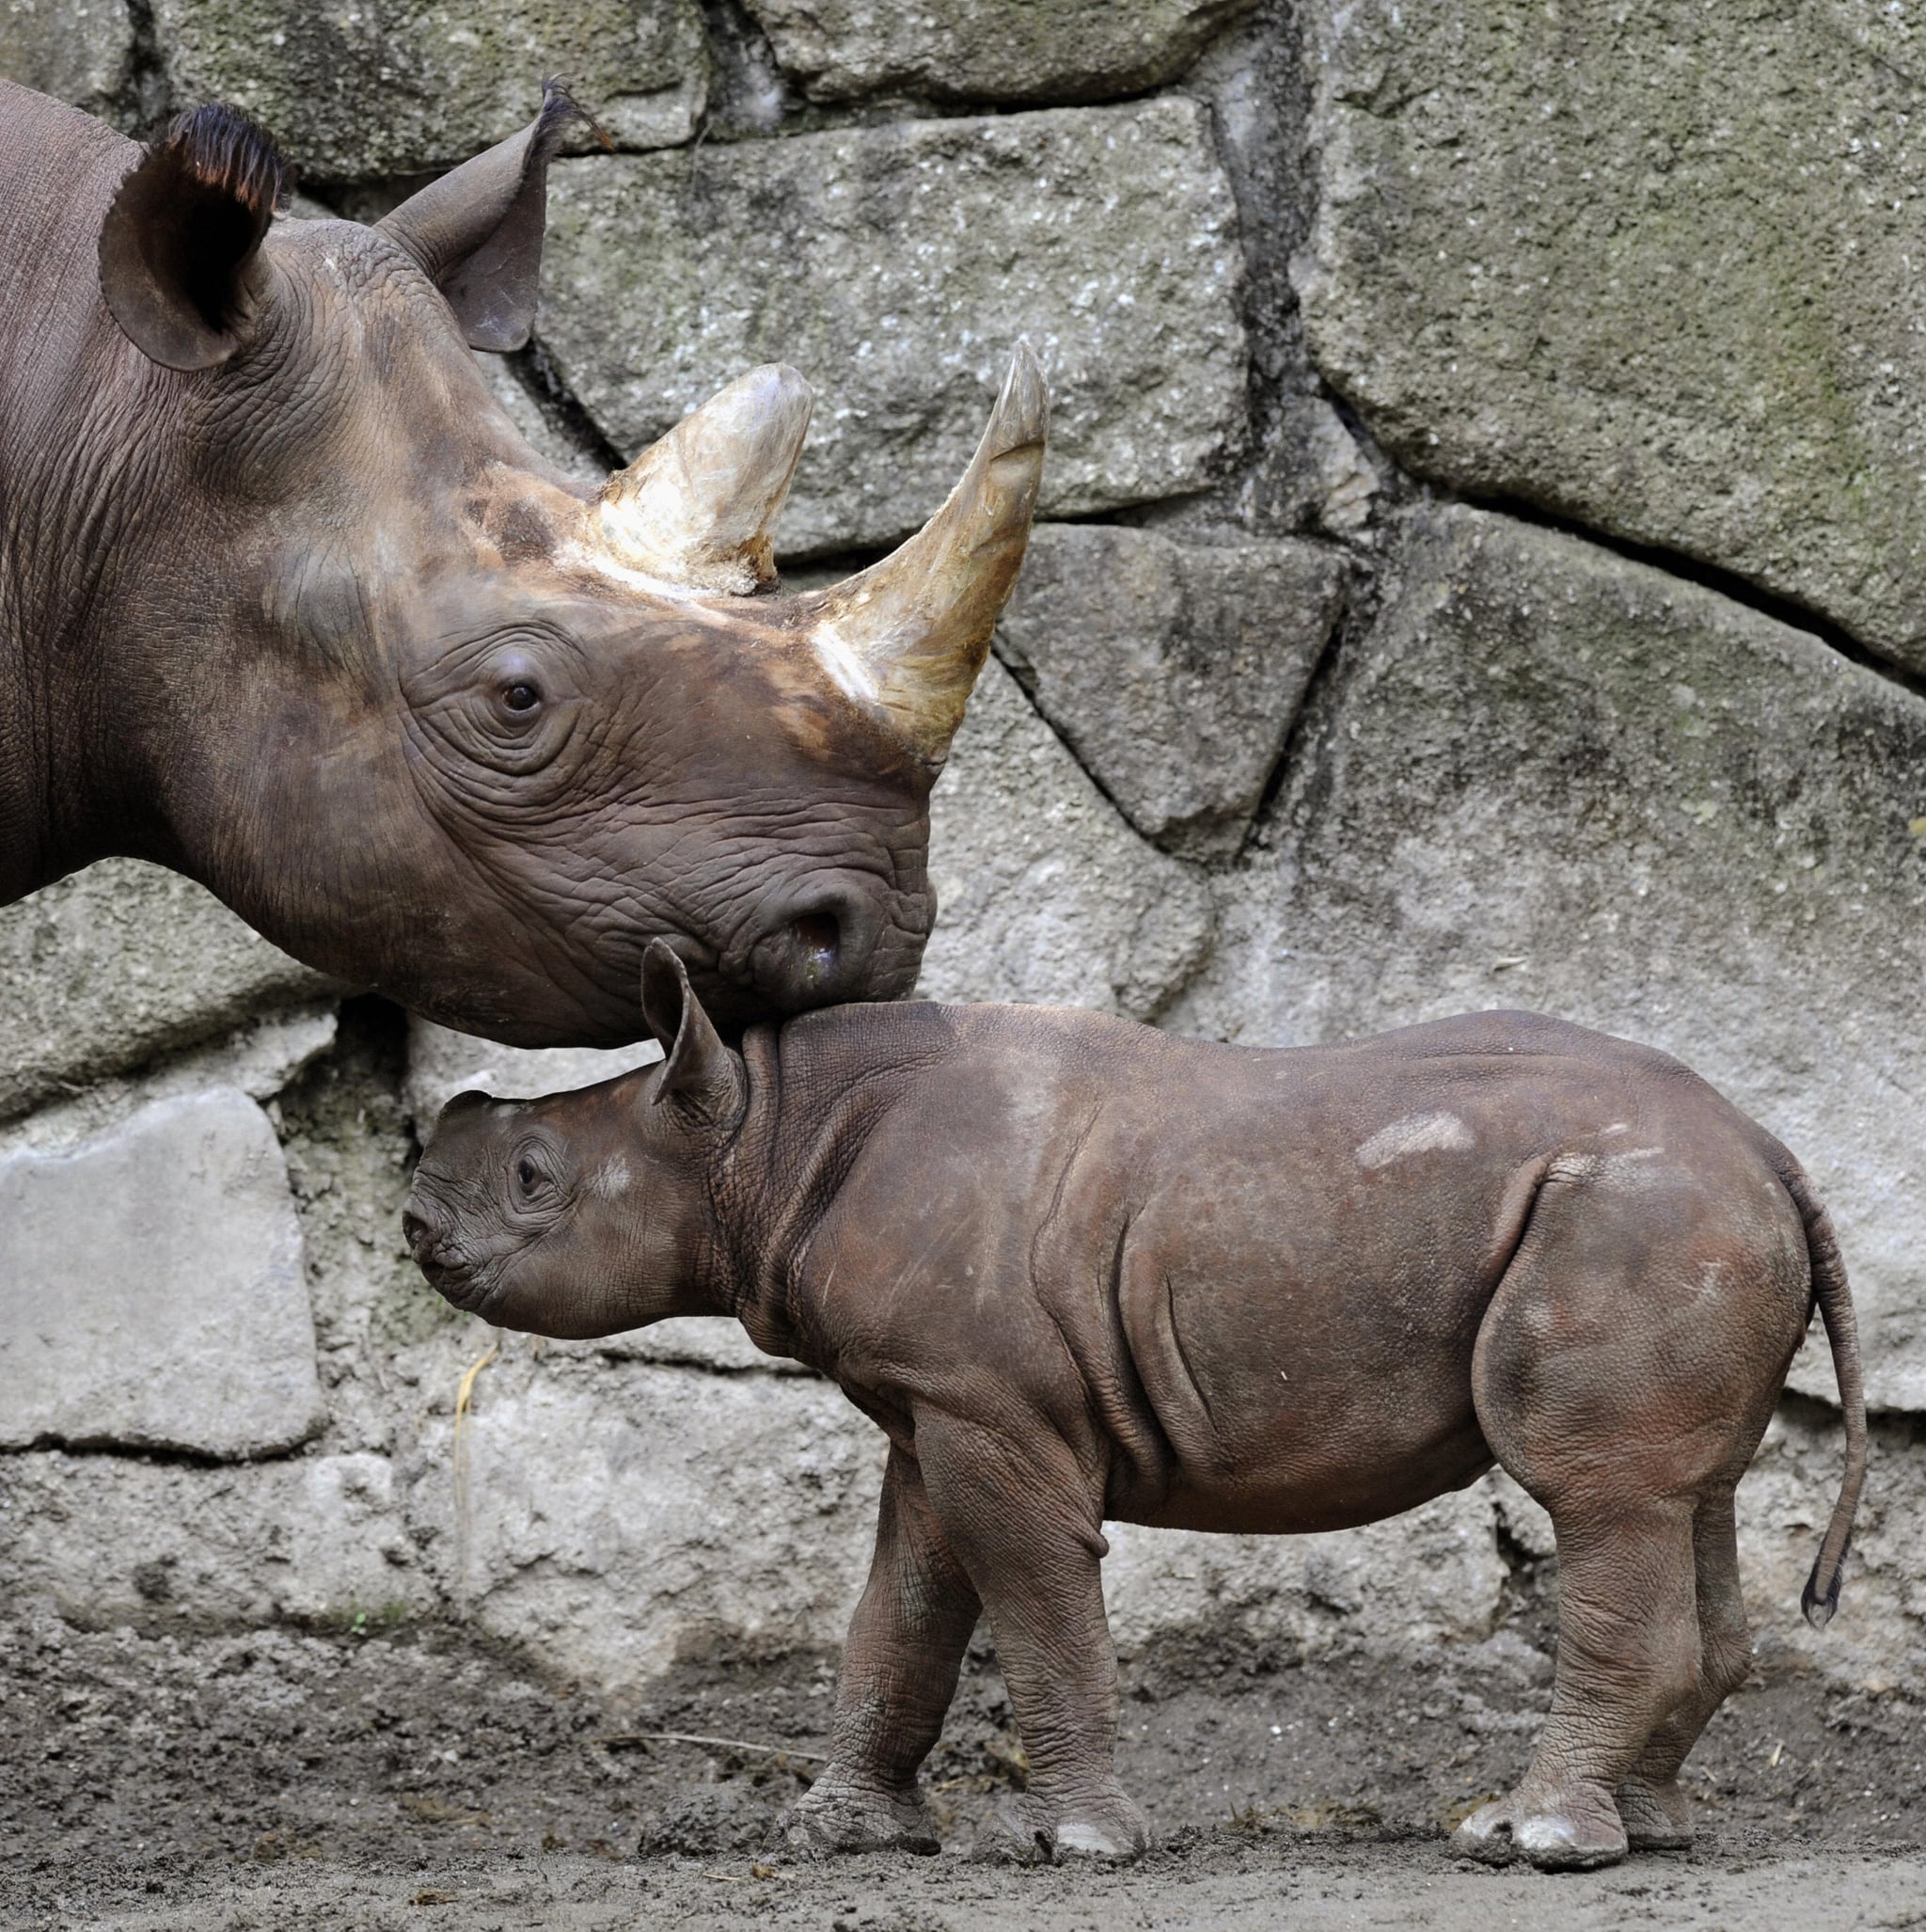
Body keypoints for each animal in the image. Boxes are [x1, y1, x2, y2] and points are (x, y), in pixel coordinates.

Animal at [405, 946, 1862, 1870]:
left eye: (533, 1175)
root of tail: (1772, 1150)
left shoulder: (987, 1406)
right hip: (1680, 1220)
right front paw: (832, 1832)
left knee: (1595, 1493)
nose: (414, 1216)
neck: (759, 1131)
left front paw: (1077, 1844)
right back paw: (1649, 1829)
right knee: (1686, 1497)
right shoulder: (937, 1403)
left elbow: (1033, 1595)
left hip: (1635, 1216)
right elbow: (903, 1608)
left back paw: (1533, 1840)